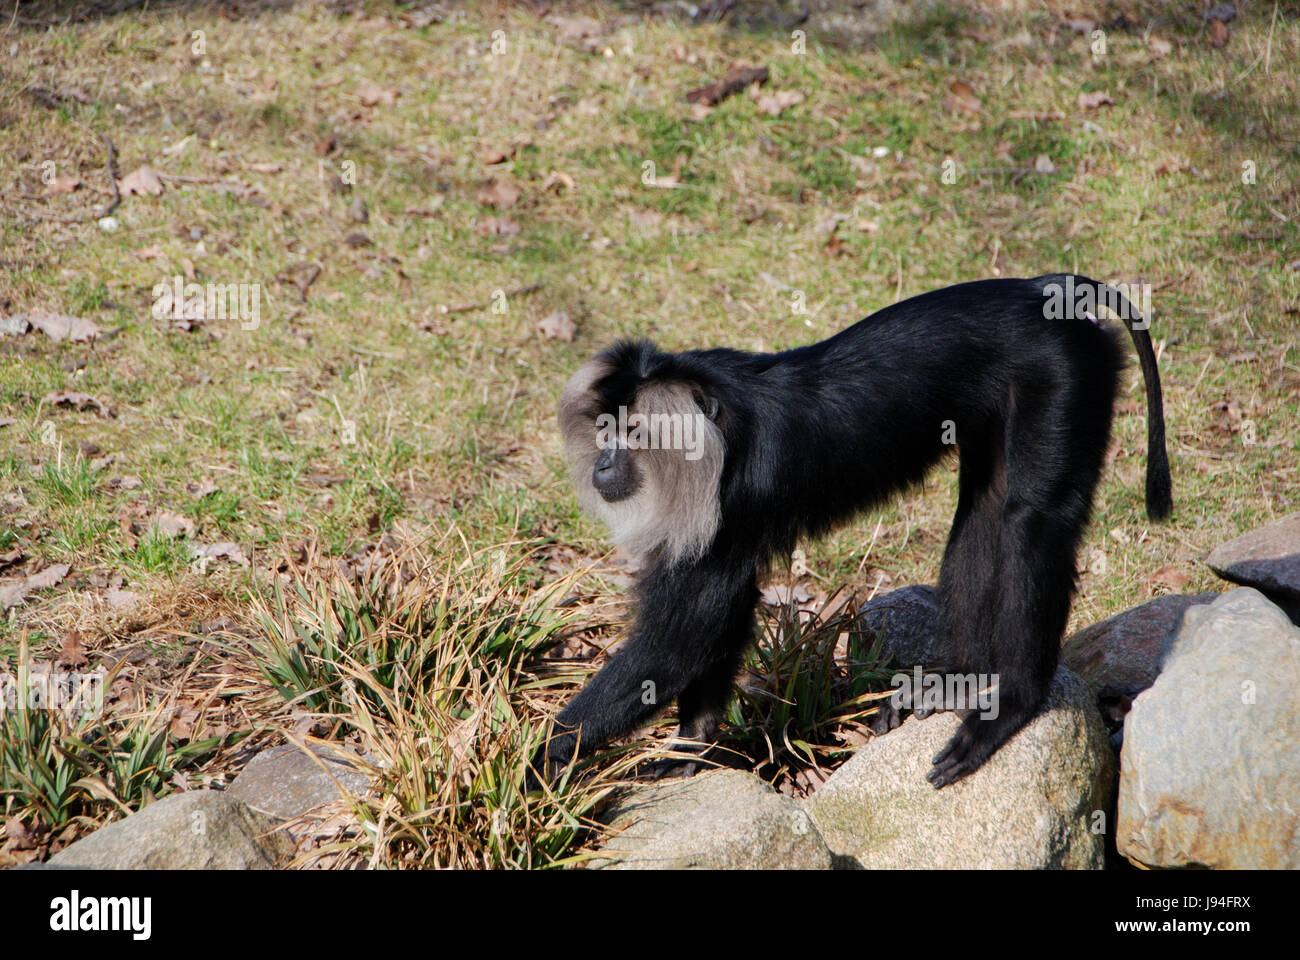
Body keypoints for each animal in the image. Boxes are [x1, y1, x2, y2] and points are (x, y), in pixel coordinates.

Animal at [533, 273, 1175, 790]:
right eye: (605, 428)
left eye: (632, 433)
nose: (603, 465)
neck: (720, 422)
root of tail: (1044, 290)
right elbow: (715, 625)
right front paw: (691, 746)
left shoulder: (731, 499)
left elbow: (682, 637)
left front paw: (539, 759)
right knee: (986, 510)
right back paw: (959, 680)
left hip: (1064, 375)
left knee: (1029, 520)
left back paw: (1010, 703)